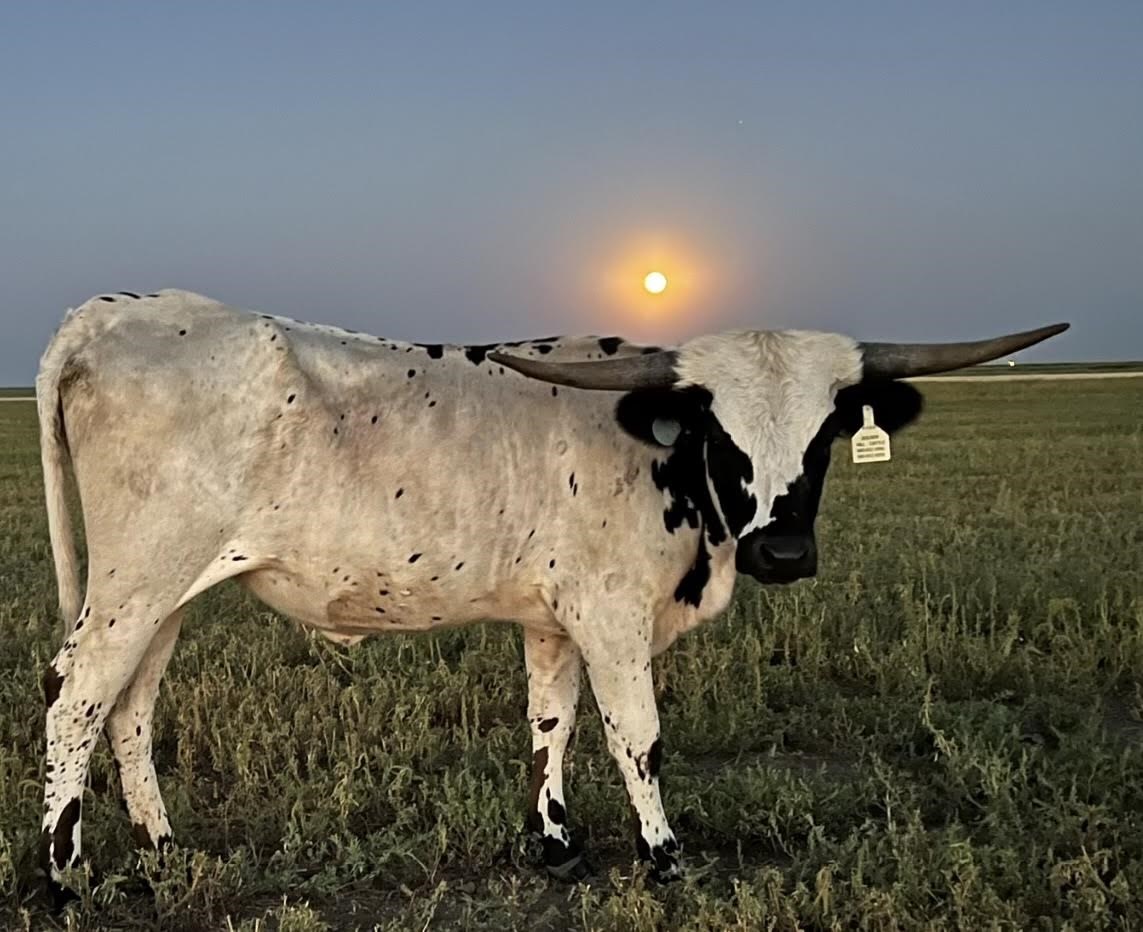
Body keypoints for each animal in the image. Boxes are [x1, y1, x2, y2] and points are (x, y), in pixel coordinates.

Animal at [34, 289, 1067, 895]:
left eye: (825, 434)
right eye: (716, 430)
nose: (780, 551)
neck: (653, 452)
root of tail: (117, 310)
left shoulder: (554, 621)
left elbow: (550, 721)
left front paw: (554, 841)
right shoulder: (612, 620)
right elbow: (637, 736)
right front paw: (663, 854)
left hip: (168, 593)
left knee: (130, 705)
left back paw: (163, 847)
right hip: (136, 580)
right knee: (76, 694)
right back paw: (62, 869)